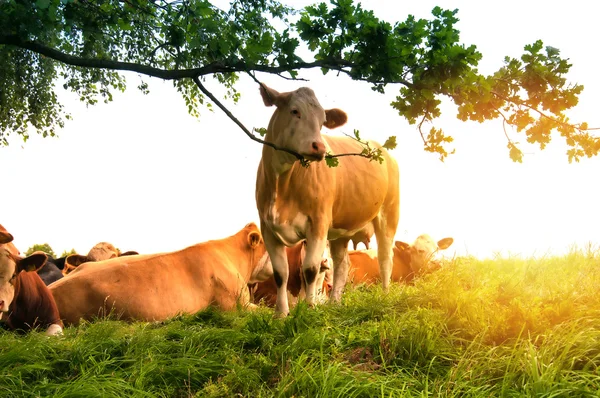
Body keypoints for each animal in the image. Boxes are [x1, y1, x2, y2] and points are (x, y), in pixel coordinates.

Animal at [253, 84, 398, 318]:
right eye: (294, 111)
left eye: (322, 122)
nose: (319, 147)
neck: (282, 183)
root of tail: (381, 148)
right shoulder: (267, 227)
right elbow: (280, 273)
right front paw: (280, 314)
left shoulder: (318, 223)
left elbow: (311, 269)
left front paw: (309, 309)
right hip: (341, 229)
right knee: (342, 265)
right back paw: (334, 303)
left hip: (388, 215)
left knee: (385, 259)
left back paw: (384, 297)